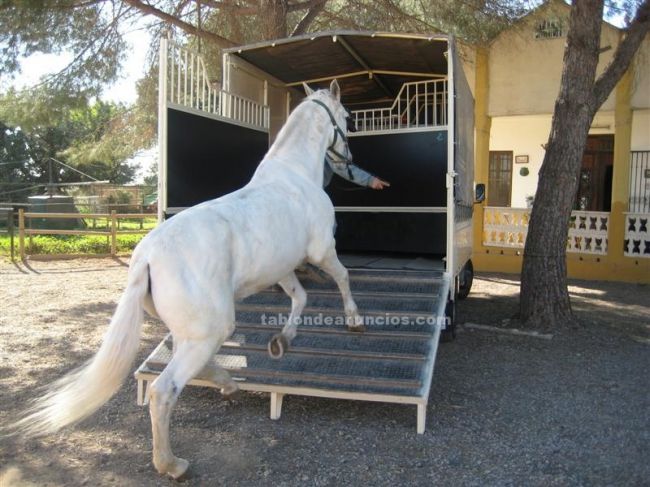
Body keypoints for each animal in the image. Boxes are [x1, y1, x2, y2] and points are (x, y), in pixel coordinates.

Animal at [13, 79, 364, 480]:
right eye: (347, 117)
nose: (348, 158)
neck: (295, 175)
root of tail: (147, 257)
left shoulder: (283, 267)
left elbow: (299, 297)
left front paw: (282, 341)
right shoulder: (322, 251)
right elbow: (342, 277)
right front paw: (355, 320)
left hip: (192, 331)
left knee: (193, 362)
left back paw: (227, 385)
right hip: (208, 331)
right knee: (163, 389)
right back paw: (172, 463)